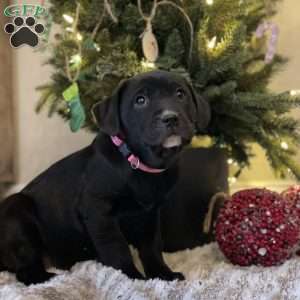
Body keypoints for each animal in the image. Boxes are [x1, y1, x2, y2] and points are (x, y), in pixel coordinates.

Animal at [0, 70, 210, 284]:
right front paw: (132, 277)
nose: (170, 118)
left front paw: (163, 274)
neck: (138, 163)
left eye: (180, 94)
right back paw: (48, 278)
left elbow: (151, 248)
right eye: (140, 100)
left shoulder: (150, 215)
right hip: (17, 209)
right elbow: (117, 248)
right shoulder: (99, 212)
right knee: (25, 269)